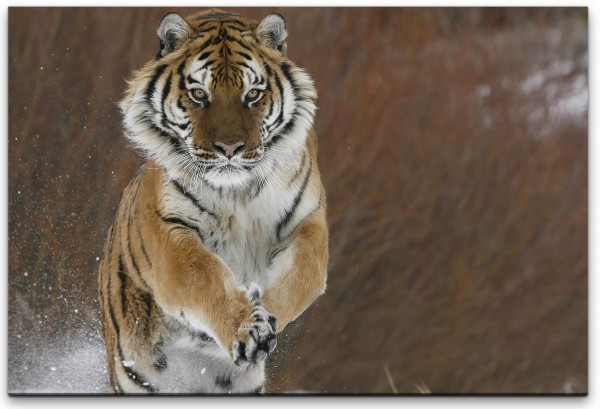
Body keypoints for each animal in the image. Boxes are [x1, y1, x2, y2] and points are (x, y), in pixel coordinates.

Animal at [99, 7, 330, 394]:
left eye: (253, 94)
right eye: (198, 93)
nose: (230, 148)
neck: (238, 192)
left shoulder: (307, 222)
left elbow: (299, 278)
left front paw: (259, 316)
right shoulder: (171, 232)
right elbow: (206, 278)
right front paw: (247, 328)